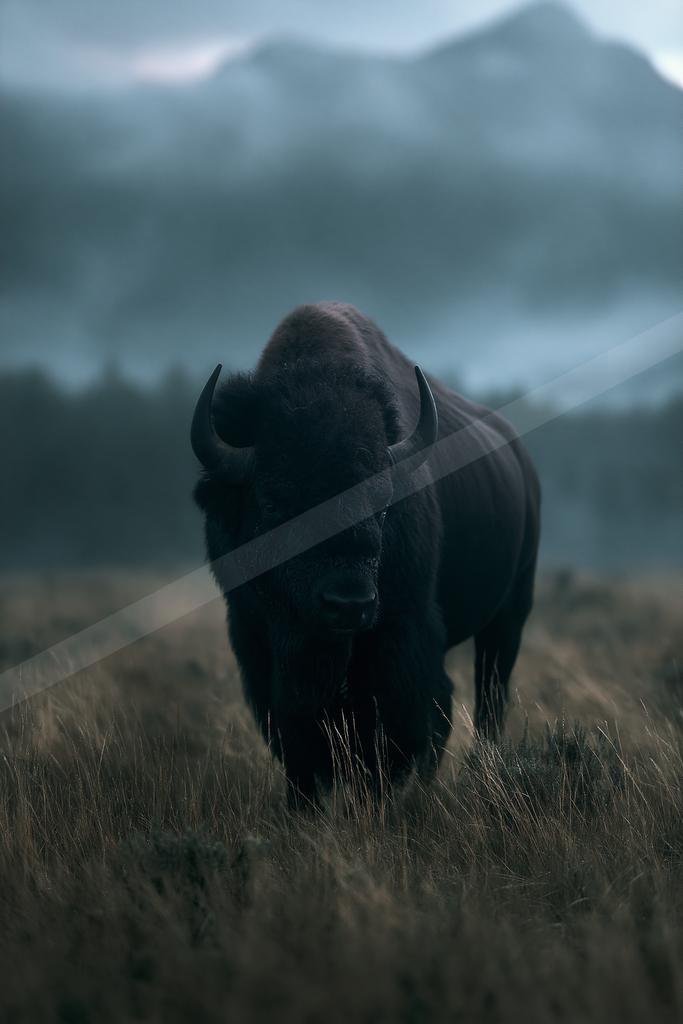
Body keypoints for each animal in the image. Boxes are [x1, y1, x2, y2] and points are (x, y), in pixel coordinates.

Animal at [193, 302, 540, 805]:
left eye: (382, 500)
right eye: (274, 501)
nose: (348, 604)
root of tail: (519, 457)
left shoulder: (401, 635)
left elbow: (391, 728)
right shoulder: (255, 638)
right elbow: (295, 734)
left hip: (509, 617)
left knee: (486, 697)